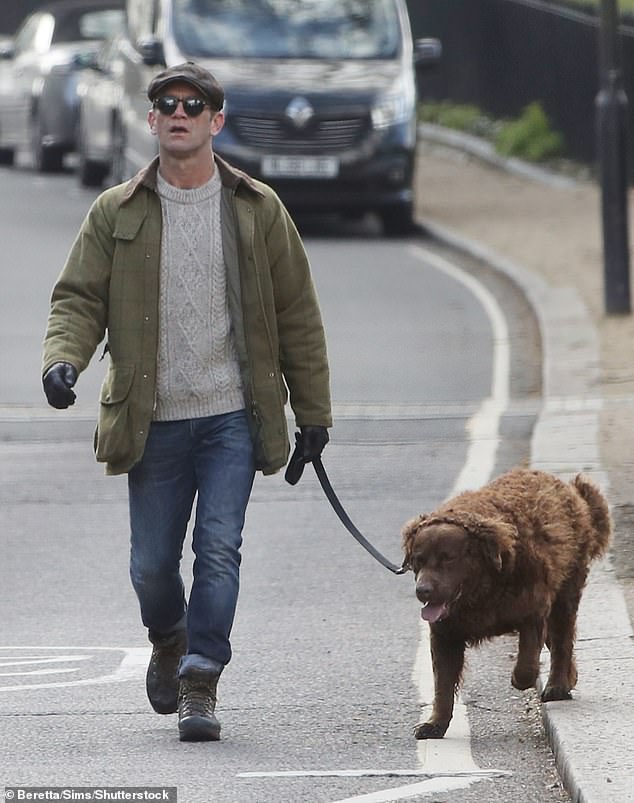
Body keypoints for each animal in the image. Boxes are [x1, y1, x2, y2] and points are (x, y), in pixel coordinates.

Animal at [402, 472, 608, 740]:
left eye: (448, 558)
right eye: (419, 560)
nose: (422, 590)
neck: (484, 586)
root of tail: (570, 488)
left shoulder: (533, 611)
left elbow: (527, 666)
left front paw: (519, 679)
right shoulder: (445, 634)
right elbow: (443, 686)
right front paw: (435, 724)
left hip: (565, 594)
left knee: (562, 642)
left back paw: (557, 686)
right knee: (558, 642)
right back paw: (569, 678)